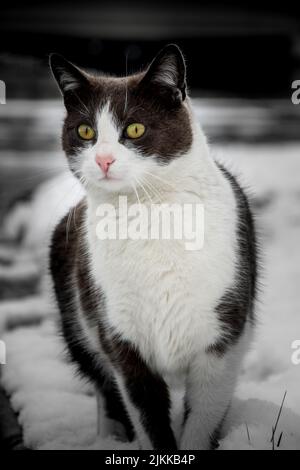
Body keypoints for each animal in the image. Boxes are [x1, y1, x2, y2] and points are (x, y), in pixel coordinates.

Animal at [49, 45, 258, 452]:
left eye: (134, 128)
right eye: (85, 131)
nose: (103, 159)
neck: (148, 211)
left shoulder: (221, 344)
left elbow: (202, 421)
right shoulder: (121, 340)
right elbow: (147, 419)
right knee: (105, 390)